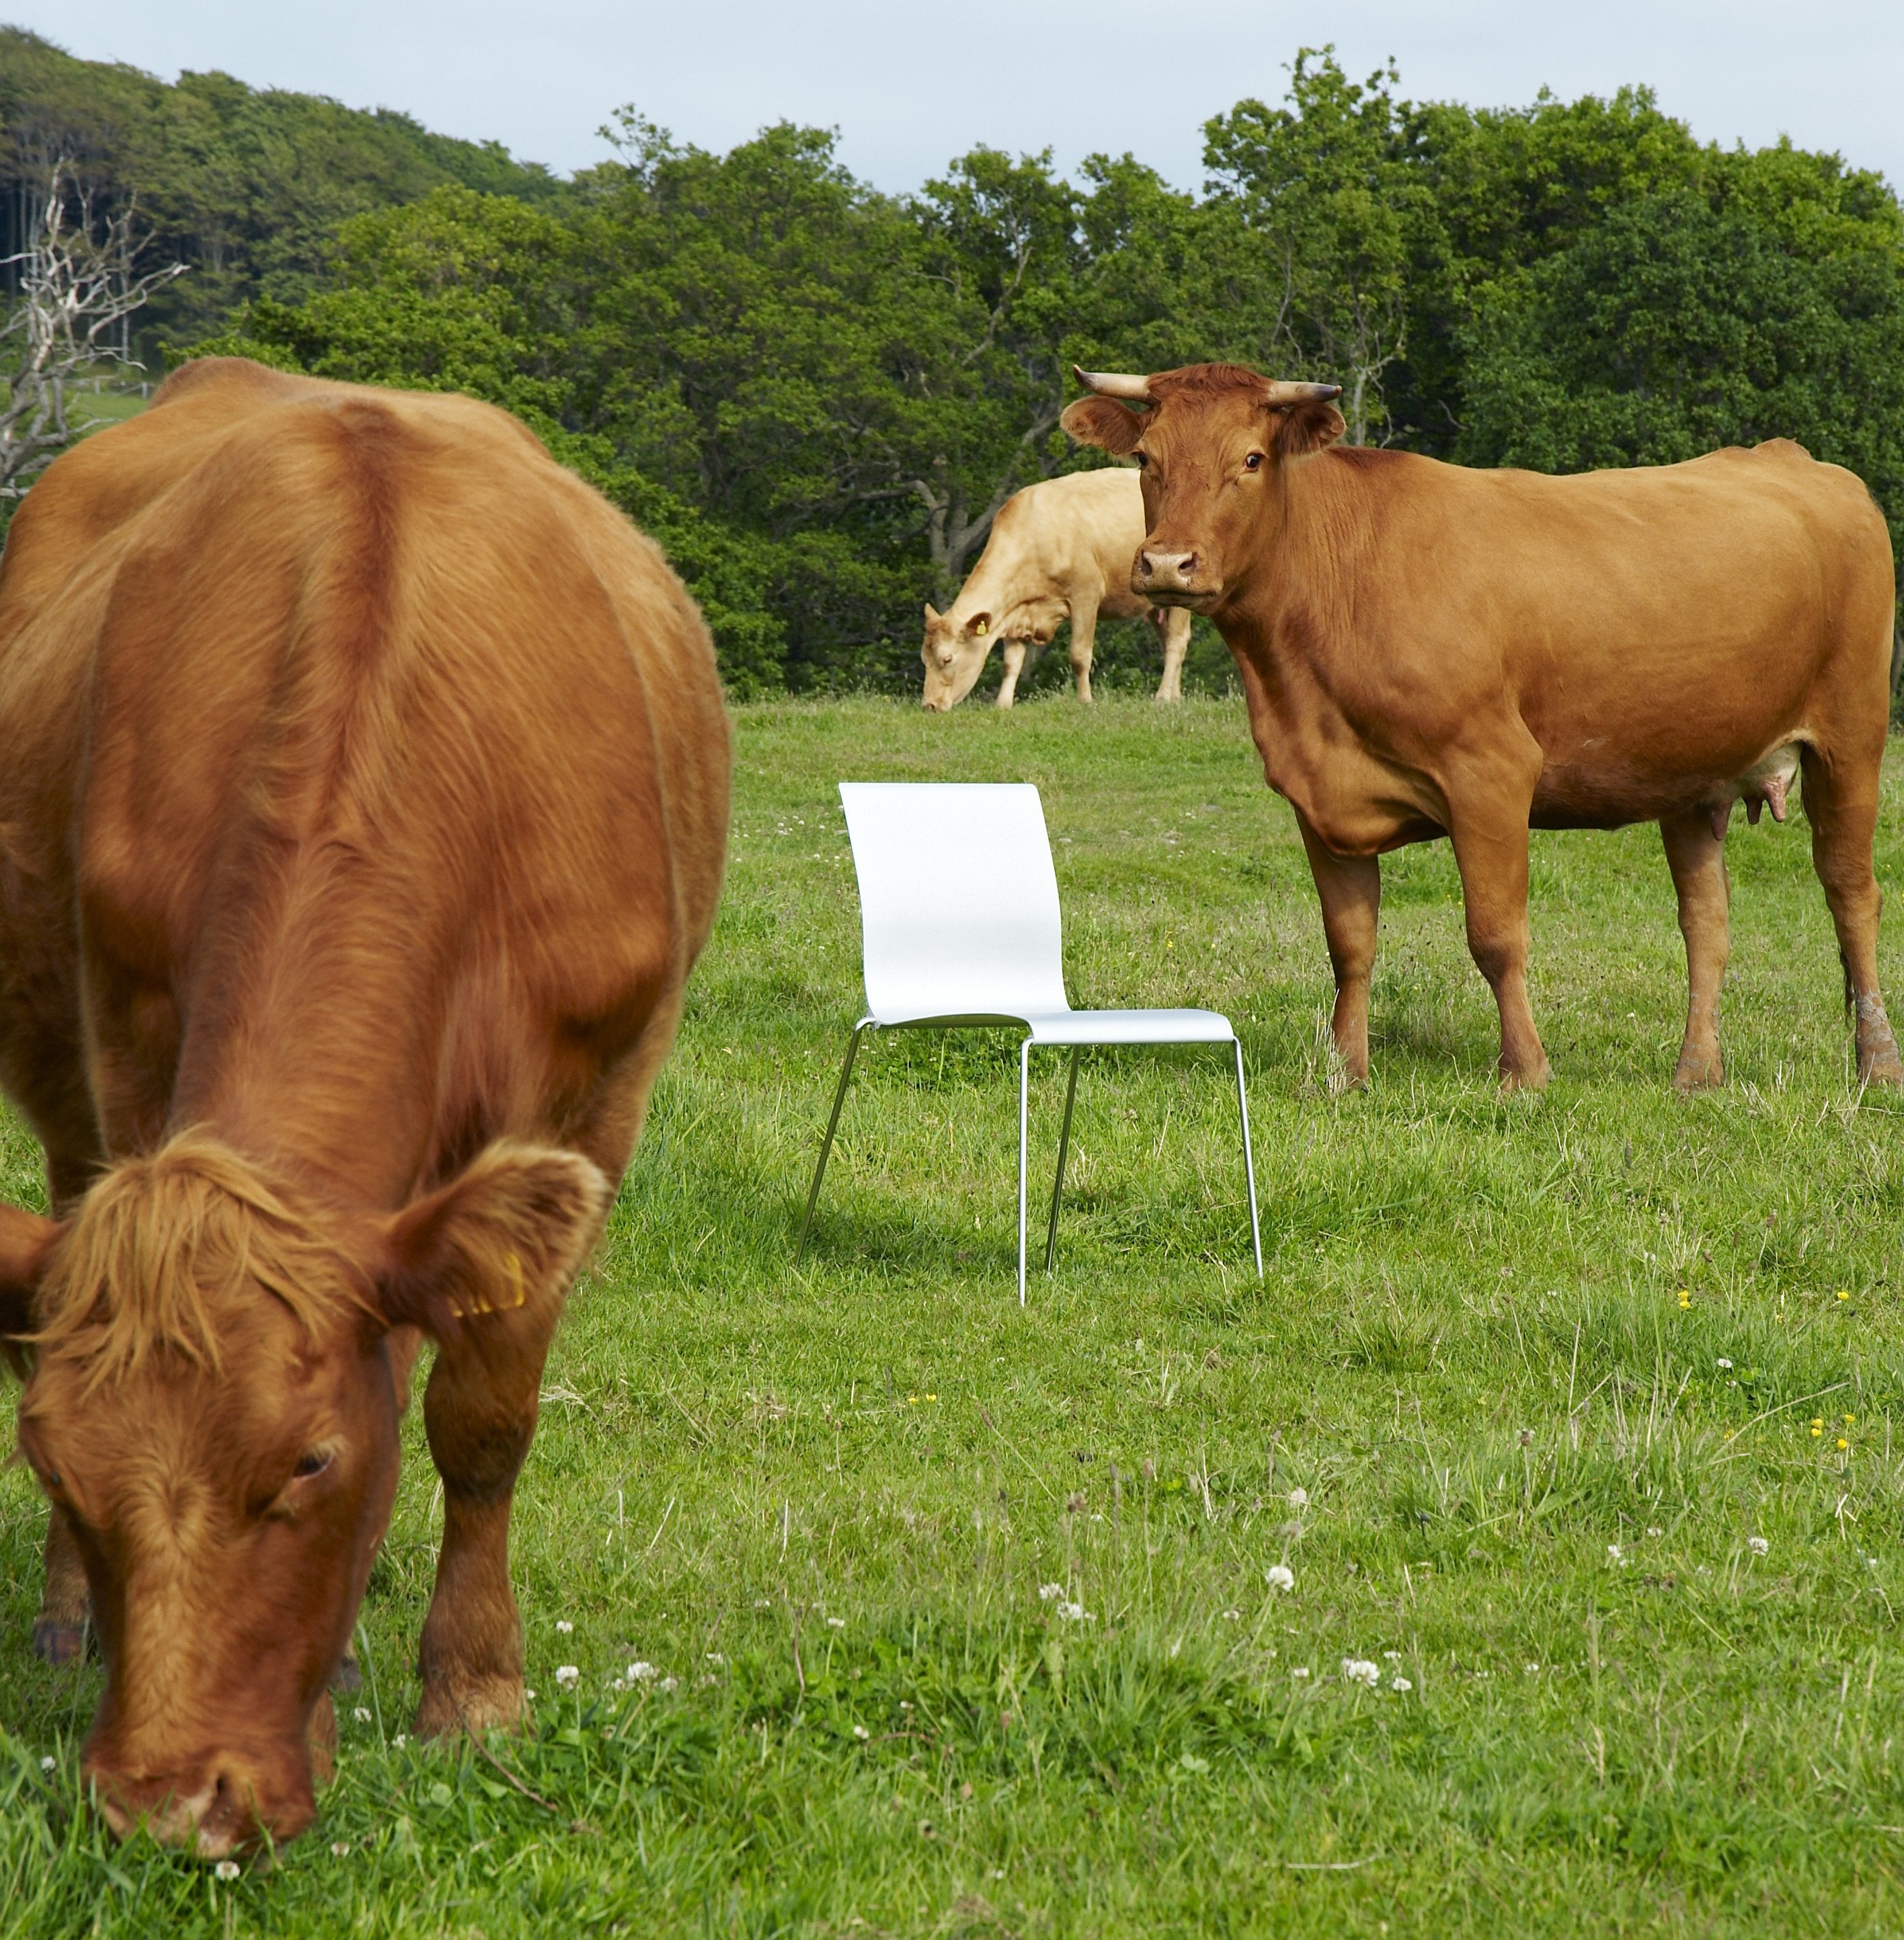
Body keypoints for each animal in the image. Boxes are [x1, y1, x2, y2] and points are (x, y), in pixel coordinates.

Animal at [0, 357, 730, 1855]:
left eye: (311, 1464)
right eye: (51, 1464)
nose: (173, 1809)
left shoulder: (585, 1105)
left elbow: (482, 1415)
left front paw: (474, 1693)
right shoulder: (131, 1038)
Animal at [921, 468, 1193, 709]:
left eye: (947, 658)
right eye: (924, 659)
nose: (930, 705)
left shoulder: (1086, 595)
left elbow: (1079, 656)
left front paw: (1085, 701)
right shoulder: (1017, 610)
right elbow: (1011, 663)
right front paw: (1003, 704)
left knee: (1176, 642)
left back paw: (1162, 697)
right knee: (1168, 642)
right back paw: (1175, 696)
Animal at [1062, 361, 1904, 1094]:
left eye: (1251, 457)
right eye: (1145, 458)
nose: (1167, 564)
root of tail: (1794, 458)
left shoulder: (1490, 774)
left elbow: (1496, 936)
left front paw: (1524, 1073)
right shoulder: (1319, 797)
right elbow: (1350, 944)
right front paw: (1343, 1076)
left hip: (1851, 735)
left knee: (1851, 893)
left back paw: (1876, 1063)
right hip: (1694, 772)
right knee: (1707, 920)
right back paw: (1696, 1073)